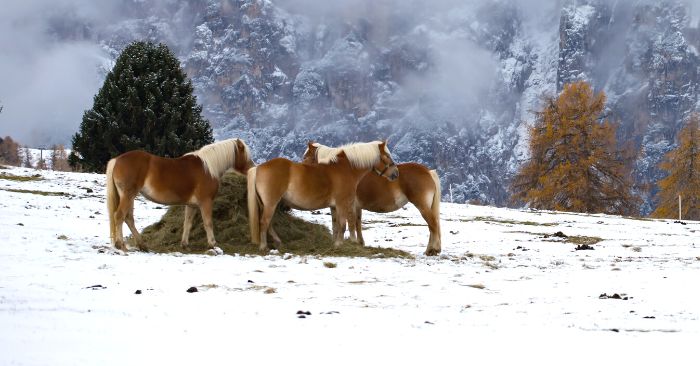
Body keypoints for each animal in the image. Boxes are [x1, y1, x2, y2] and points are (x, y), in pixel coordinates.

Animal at [105, 138, 253, 252]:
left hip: (129, 197)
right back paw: (121, 245)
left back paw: (142, 245)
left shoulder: (192, 205)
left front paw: (185, 244)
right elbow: (208, 222)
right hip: (128, 195)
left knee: (128, 218)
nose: (252, 168)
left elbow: (187, 223)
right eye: (245, 153)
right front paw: (213, 244)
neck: (208, 168)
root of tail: (116, 160)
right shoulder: (205, 202)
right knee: (119, 216)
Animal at [247, 140, 400, 252]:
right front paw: (339, 245)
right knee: (264, 222)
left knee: (269, 223)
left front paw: (335, 243)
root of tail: (259, 167)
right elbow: (343, 225)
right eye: (387, 156)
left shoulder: (334, 206)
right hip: (271, 203)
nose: (395, 173)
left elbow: (336, 225)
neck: (344, 169)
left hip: (266, 204)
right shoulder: (342, 203)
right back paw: (264, 246)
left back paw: (278, 242)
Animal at [302, 142, 442, 256]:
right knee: (432, 225)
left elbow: (351, 223)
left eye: (306, 157)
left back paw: (432, 250)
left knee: (433, 224)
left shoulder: (349, 204)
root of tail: (428, 171)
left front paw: (353, 242)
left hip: (422, 205)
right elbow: (352, 223)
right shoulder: (350, 206)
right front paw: (358, 242)